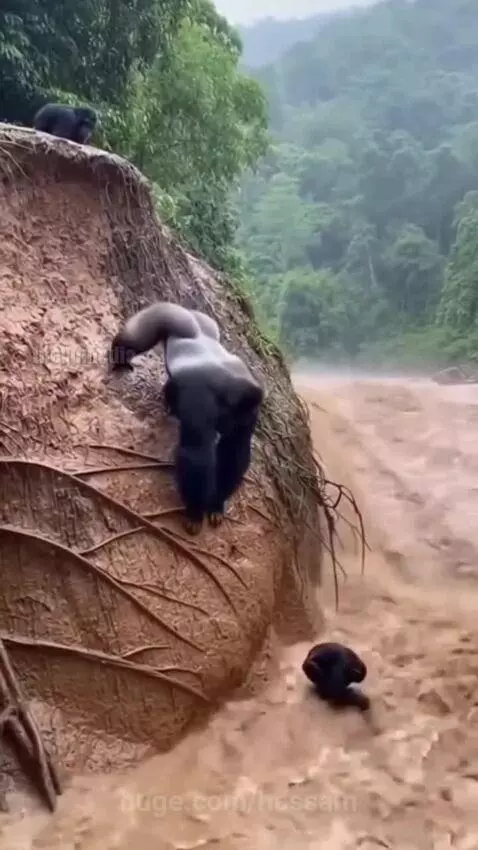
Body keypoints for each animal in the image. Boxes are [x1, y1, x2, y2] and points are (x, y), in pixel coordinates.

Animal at [110, 302, 264, 534]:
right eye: (234, 415)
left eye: (241, 419)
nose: (234, 424)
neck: (228, 388)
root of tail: (194, 319)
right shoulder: (202, 401)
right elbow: (198, 452)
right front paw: (195, 511)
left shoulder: (249, 415)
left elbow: (234, 452)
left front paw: (216, 504)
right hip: (177, 317)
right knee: (137, 338)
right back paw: (120, 357)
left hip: (200, 324)